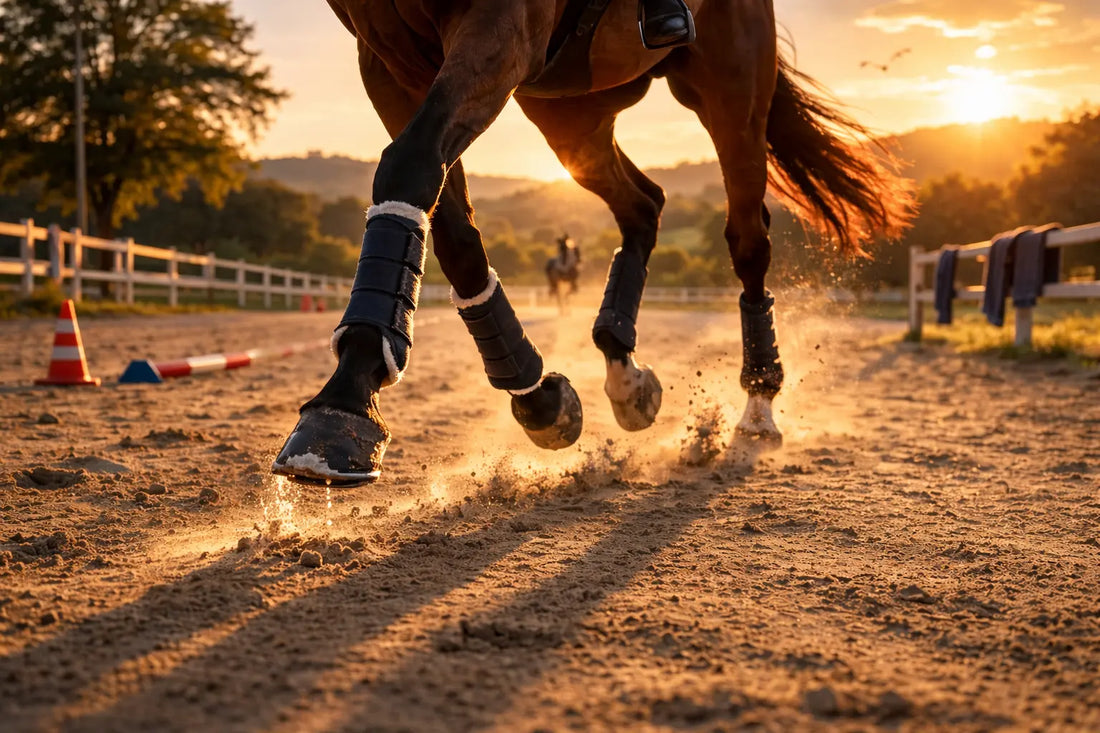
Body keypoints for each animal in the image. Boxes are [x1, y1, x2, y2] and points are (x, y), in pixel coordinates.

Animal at [272, 0, 911, 486]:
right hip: (572, 109)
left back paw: (757, 403)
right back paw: (623, 372)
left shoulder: (498, 24)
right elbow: (449, 224)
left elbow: (410, 164)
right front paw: (536, 395)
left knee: (747, 240)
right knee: (643, 205)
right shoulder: (384, 54)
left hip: (730, 90)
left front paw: (344, 406)